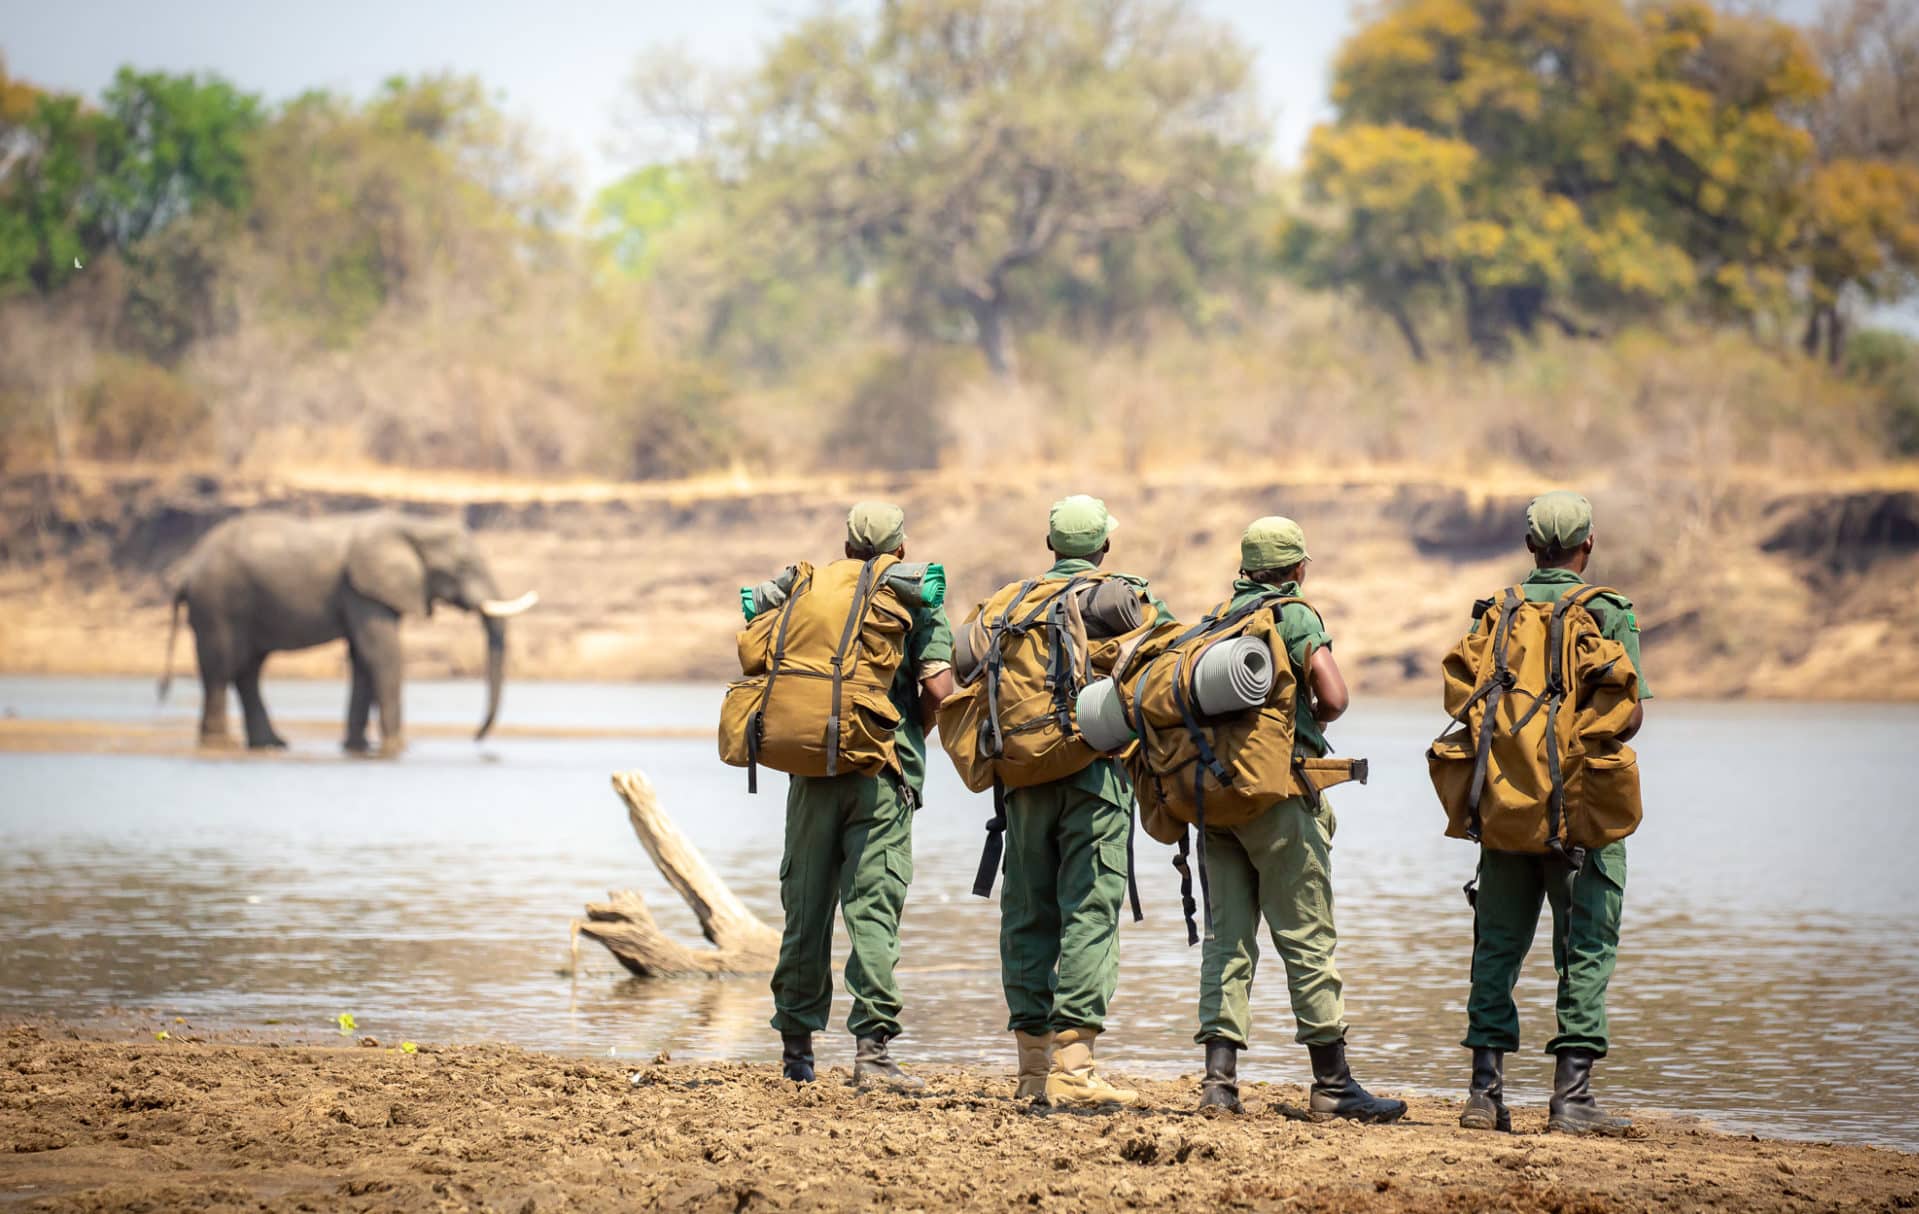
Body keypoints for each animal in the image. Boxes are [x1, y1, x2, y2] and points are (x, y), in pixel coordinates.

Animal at [158, 511, 538, 755]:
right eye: (463, 567)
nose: (476, 737)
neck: (413, 525)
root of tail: (186, 571)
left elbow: (363, 659)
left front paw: (358, 747)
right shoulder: (364, 591)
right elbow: (381, 654)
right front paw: (397, 747)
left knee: (248, 670)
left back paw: (271, 744)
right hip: (217, 603)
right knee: (221, 667)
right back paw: (220, 744)